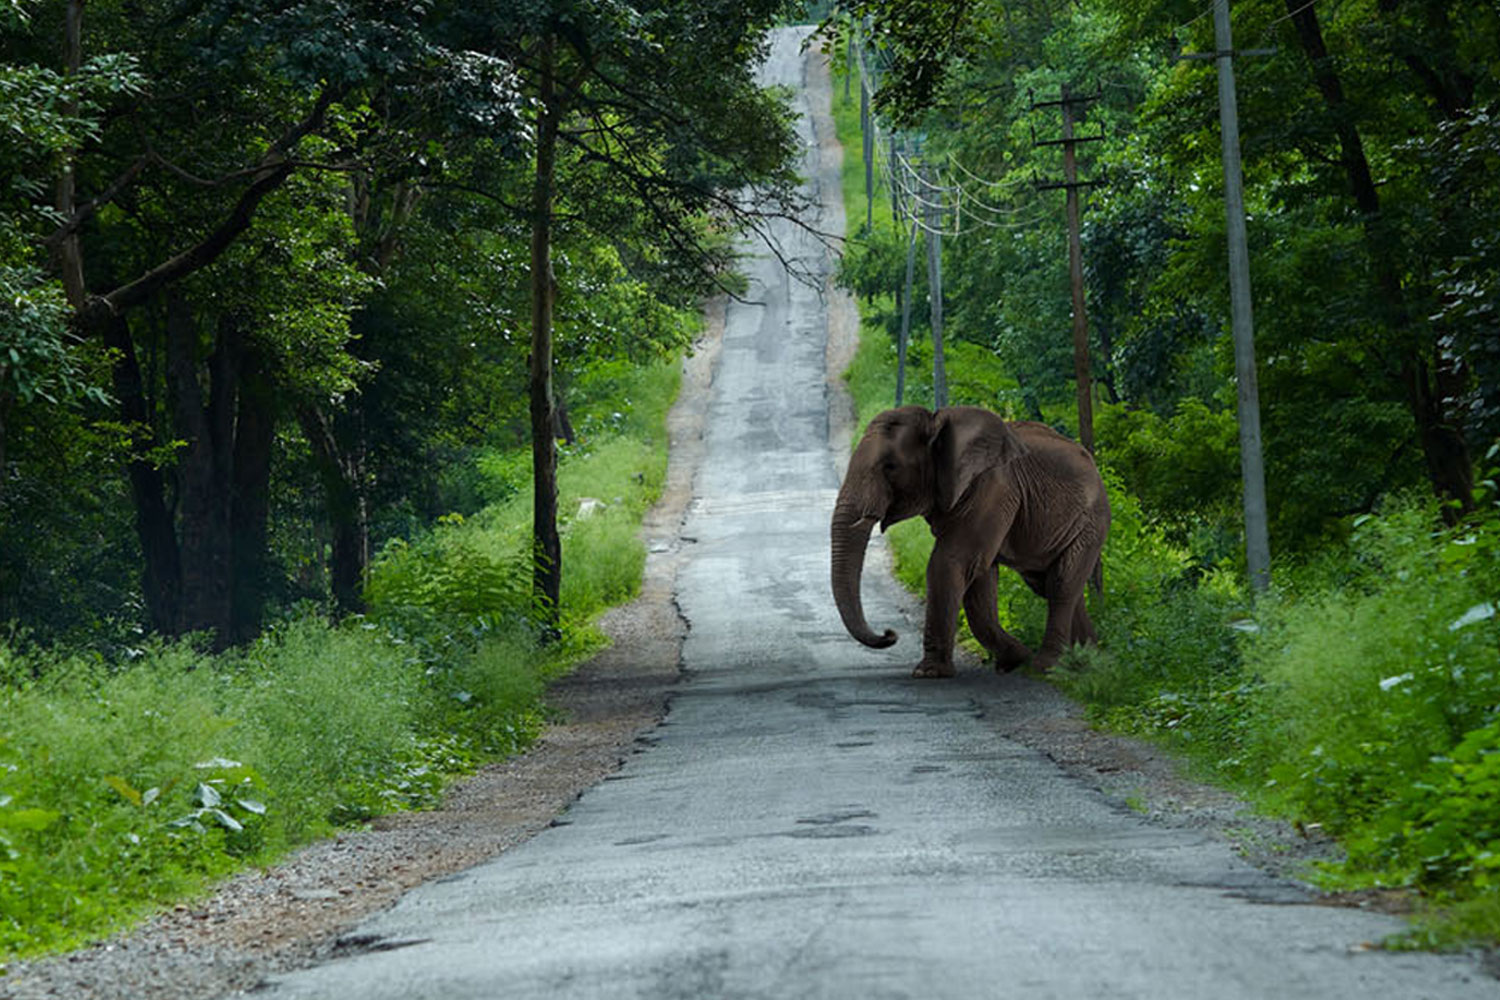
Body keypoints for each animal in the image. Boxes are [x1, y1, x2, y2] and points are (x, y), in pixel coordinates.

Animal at [828, 407, 1110, 680]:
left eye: (890, 467)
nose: (889, 634)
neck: (936, 423)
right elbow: (978, 577)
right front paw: (1014, 661)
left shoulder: (993, 489)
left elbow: (952, 562)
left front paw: (929, 673)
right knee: (1051, 584)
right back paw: (1090, 663)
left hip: (1091, 522)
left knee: (1061, 585)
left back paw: (1047, 667)